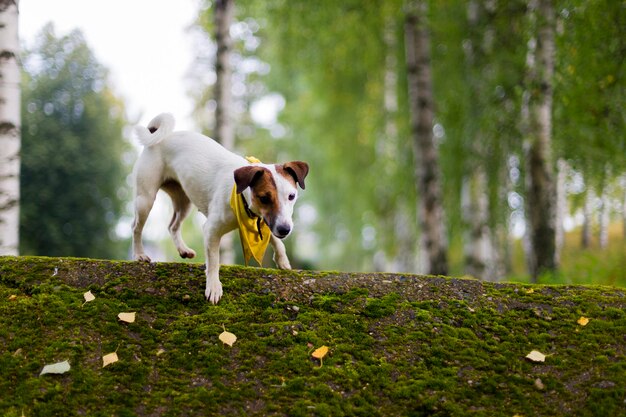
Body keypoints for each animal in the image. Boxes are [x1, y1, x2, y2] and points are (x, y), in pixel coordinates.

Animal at [131, 113, 308, 302]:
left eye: (291, 196)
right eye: (264, 198)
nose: (285, 229)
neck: (242, 197)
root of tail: (158, 136)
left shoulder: (266, 221)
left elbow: (275, 239)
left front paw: (282, 260)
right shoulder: (211, 230)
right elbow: (214, 261)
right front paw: (214, 286)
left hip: (184, 200)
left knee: (173, 226)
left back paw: (183, 249)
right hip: (145, 199)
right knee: (136, 227)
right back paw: (139, 254)